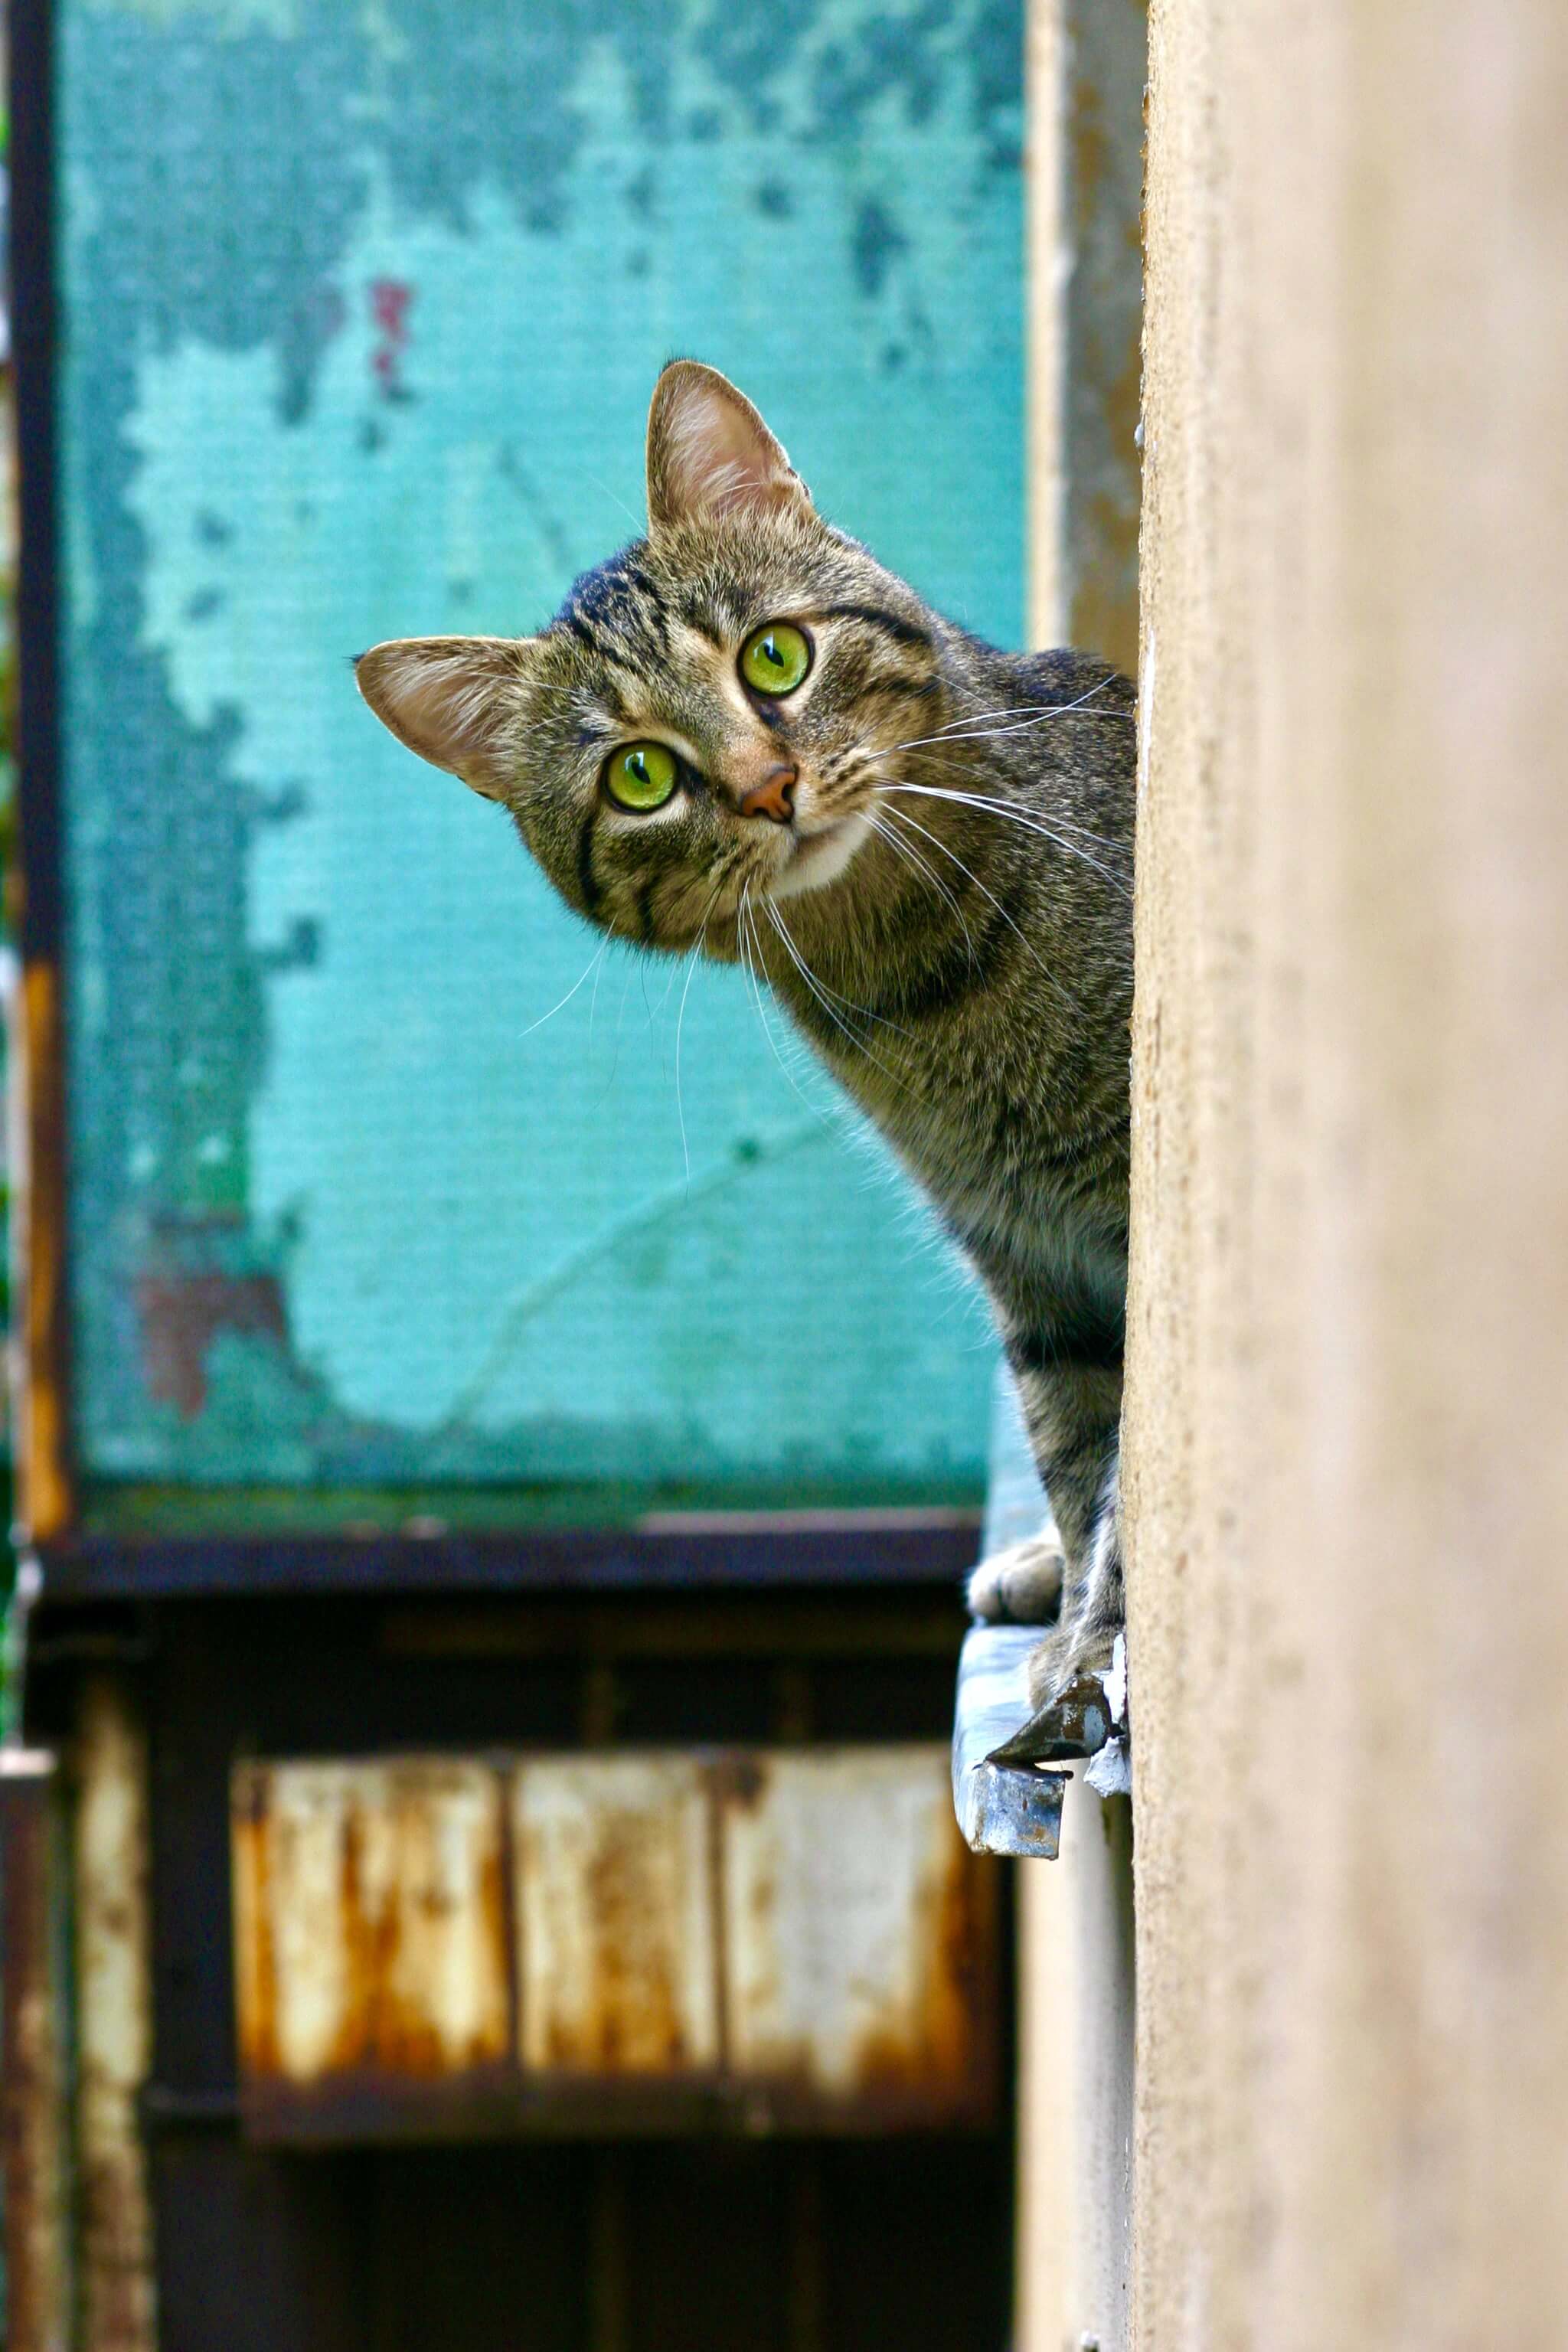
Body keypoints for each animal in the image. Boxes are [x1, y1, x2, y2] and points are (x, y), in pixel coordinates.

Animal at [359, 357, 1142, 1740]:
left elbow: (1129, 1485)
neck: (914, 985)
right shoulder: (1029, 1263)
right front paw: (1069, 1621)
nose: (769, 788)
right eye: (639, 777)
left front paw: (1094, 1648)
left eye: (774, 656)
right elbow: (1074, 1450)